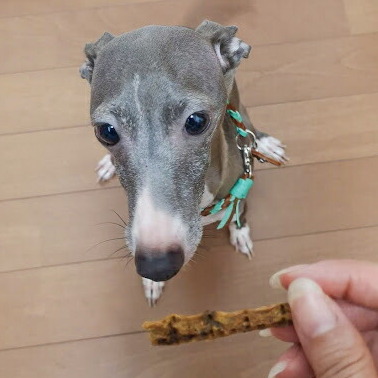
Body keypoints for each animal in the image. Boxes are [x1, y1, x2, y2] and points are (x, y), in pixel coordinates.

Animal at [79, 19, 286, 304]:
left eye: (197, 121)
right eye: (106, 131)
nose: (157, 266)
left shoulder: (240, 189)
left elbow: (238, 214)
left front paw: (240, 233)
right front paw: (152, 282)